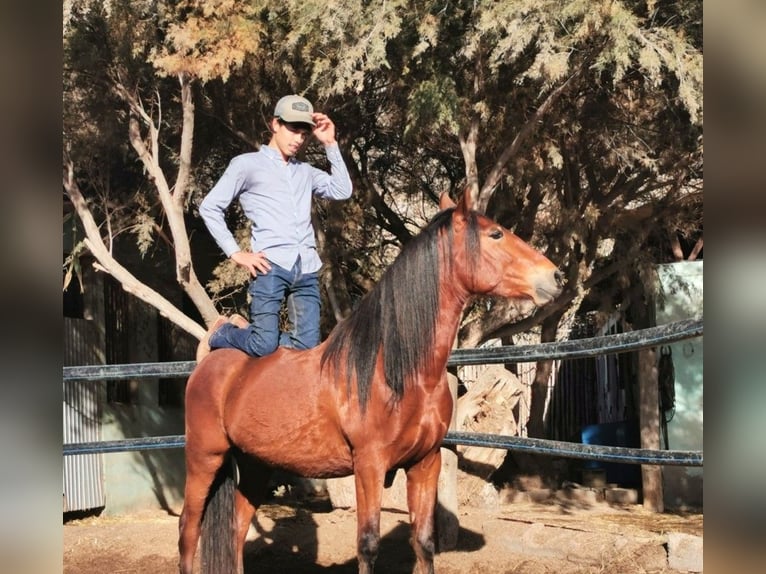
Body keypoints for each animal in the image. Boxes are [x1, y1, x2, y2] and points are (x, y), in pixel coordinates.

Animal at [180, 191, 564, 572]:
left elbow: (424, 542)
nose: (555, 276)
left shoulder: (425, 464)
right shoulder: (369, 466)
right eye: (495, 234)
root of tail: (209, 363)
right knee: (188, 529)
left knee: (236, 530)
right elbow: (368, 545)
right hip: (204, 458)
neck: (398, 372)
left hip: (254, 465)